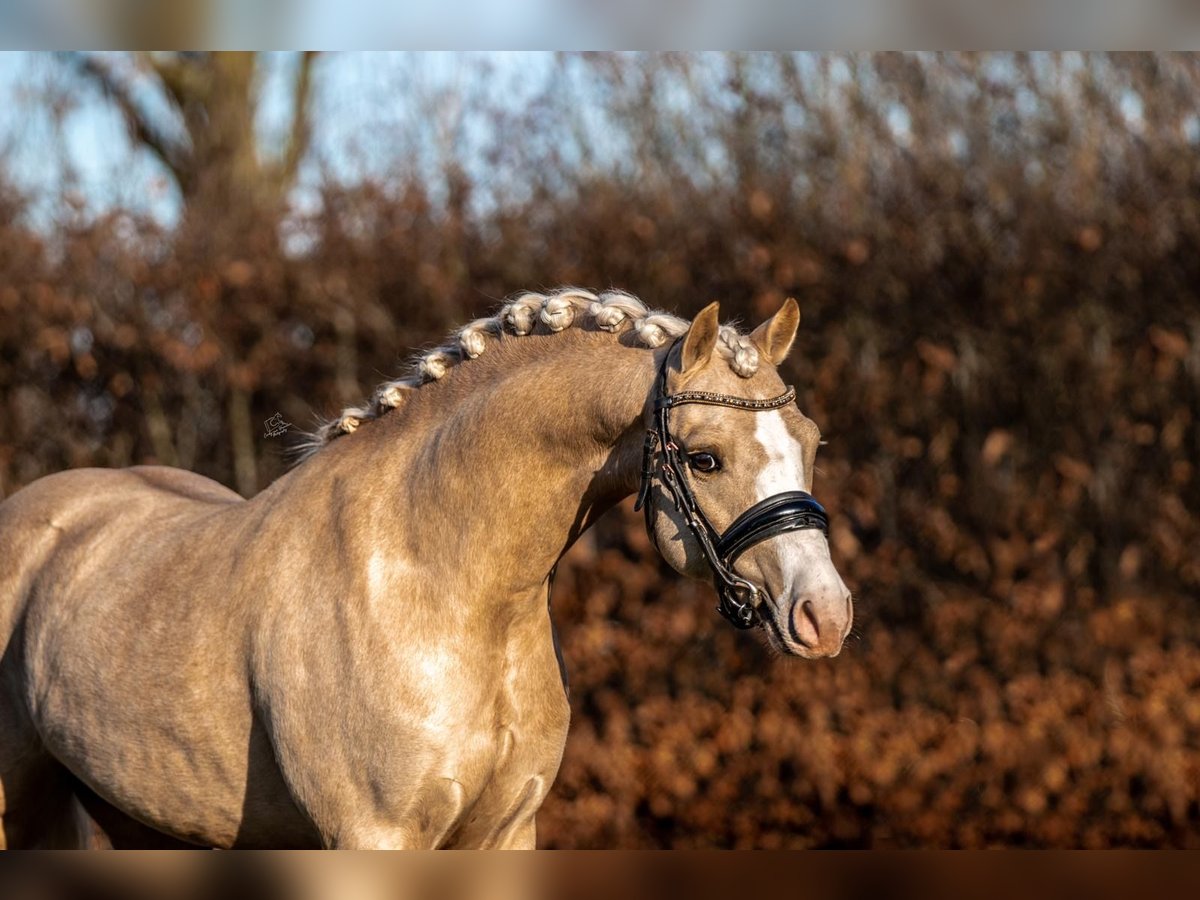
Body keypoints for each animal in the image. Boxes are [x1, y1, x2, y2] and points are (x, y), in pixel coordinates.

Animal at [0, 289, 851, 848]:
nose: (826, 614)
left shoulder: (505, 834)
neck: (444, 586)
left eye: (811, 440)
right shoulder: (373, 837)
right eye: (706, 458)